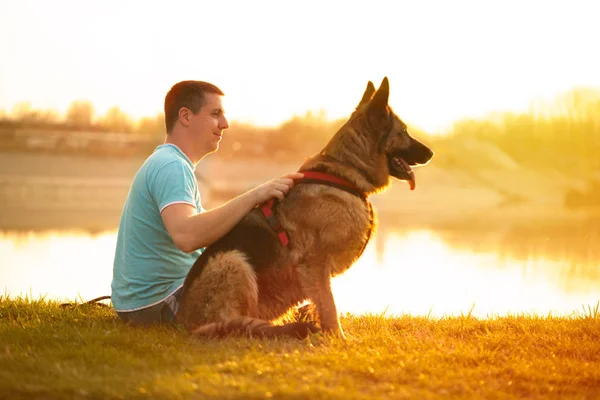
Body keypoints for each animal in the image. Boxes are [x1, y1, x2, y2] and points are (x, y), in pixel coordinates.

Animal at [176, 77, 434, 338]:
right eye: (404, 132)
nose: (432, 153)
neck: (345, 172)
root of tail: (183, 322)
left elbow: (320, 304)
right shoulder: (315, 264)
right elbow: (330, 306)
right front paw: (338, 339)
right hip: (232, 260)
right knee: (228, 325)